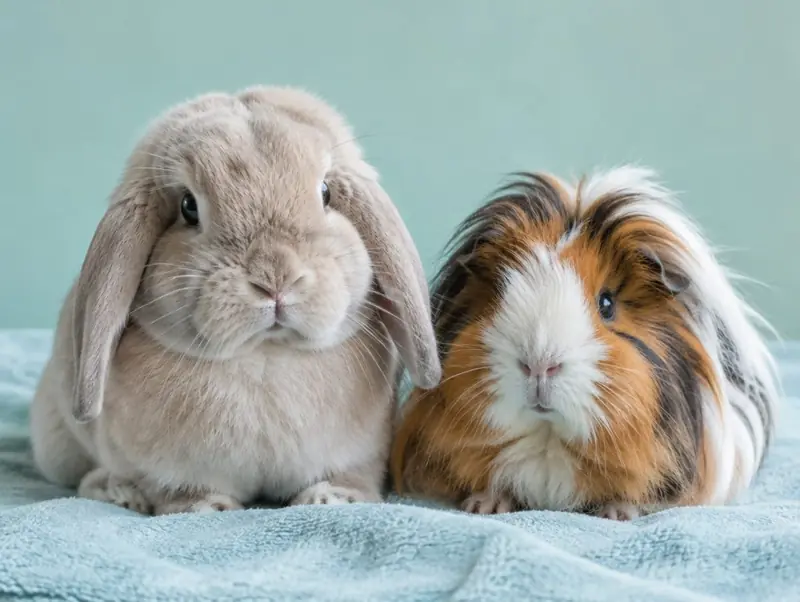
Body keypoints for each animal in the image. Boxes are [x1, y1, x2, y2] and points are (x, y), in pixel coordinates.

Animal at [29, 86, 441, 515]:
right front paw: (205, 508)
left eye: (326, 193)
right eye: (188, 206)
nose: (275, 279)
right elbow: (177, 490)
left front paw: (331, 499)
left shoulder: (360, 453)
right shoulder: (165, 470)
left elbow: (353, 477)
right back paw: (119, 492)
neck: (266, 355)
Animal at [390, 166, 779, 520]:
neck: (547, 441)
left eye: (606, 303)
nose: (539, 365)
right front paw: (483, 507)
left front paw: (617, 514)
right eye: (499, 295)